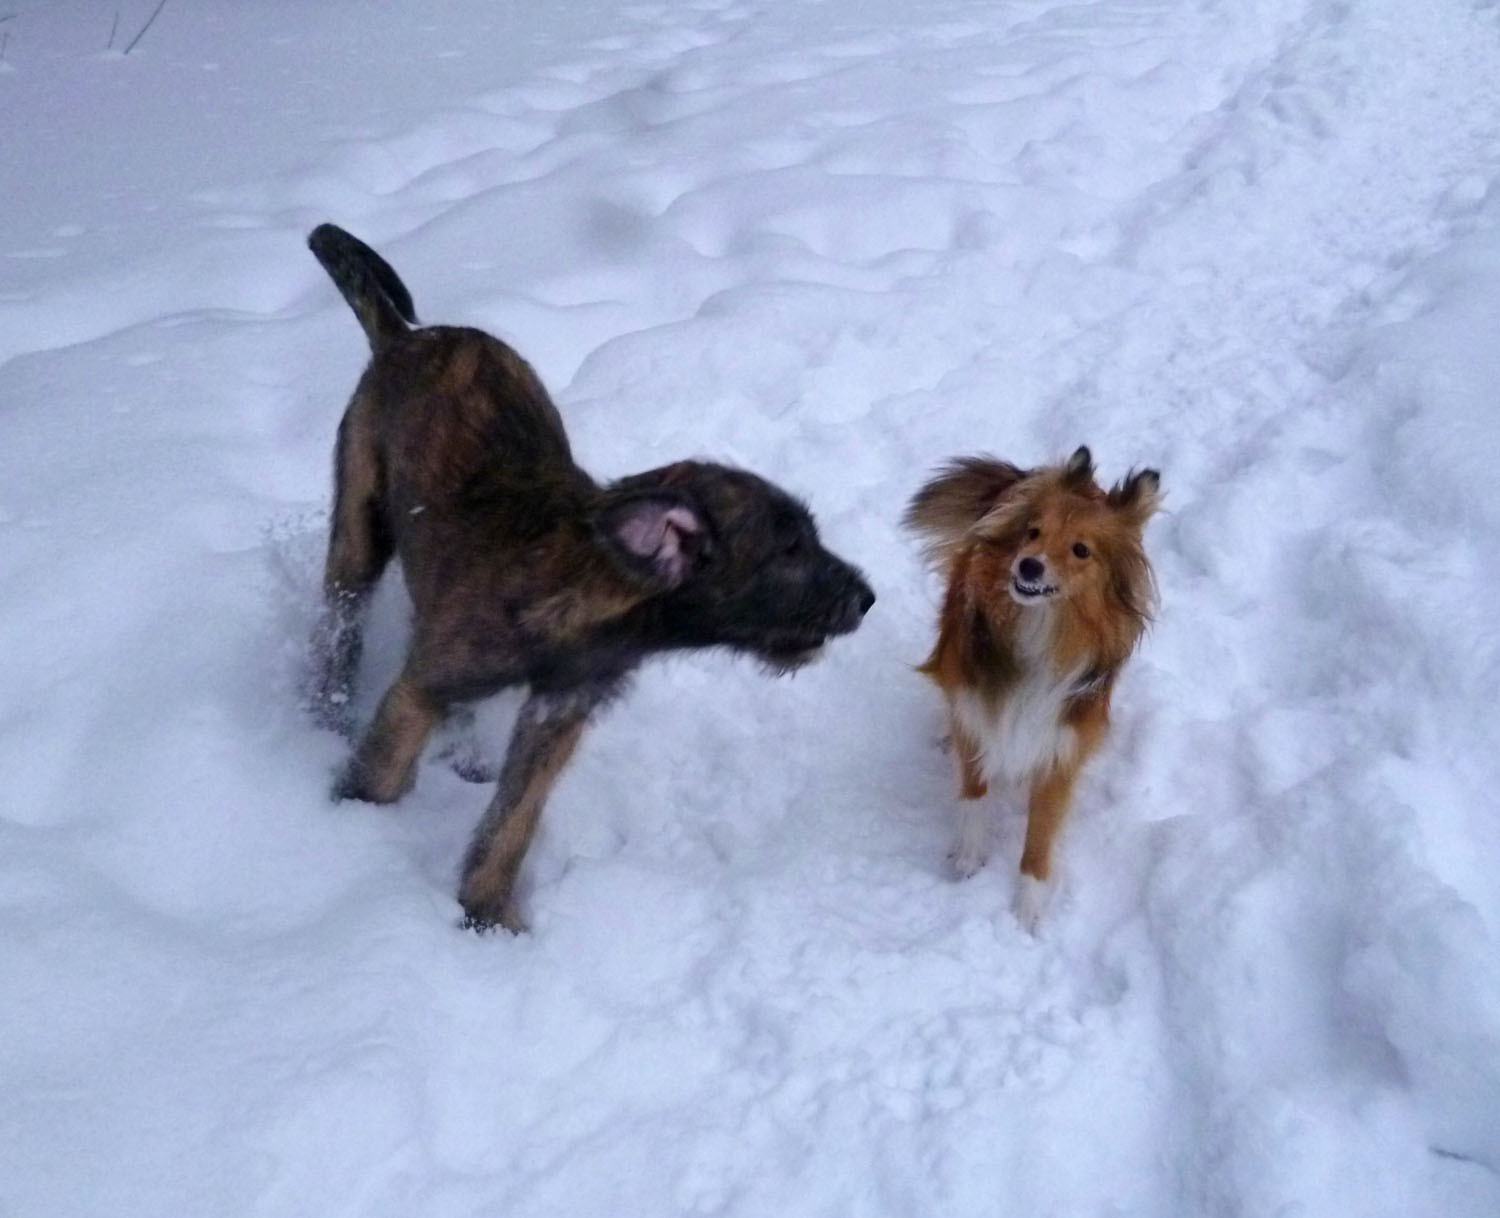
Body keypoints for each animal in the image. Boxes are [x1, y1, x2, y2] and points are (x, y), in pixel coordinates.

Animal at [303, 226, 876, 930]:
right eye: (790, 551)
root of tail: (404, 335)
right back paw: (323, 718)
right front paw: (354, 832)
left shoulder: (559, 714)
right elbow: (382, 774)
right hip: (357, 537)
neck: (590, 590)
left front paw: (488, 916)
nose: (867, 598)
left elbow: (512, 822)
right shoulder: (425, 687)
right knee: (338, 633)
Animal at [900, 450, 1158, 930]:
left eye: (1081, 549)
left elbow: (1040, 835)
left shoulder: (1061, 746)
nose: (1028, 565)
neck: (1041, 630)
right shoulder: (977, 708)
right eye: (1033, 532)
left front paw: (1028, 910)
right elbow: (974, 788)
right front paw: (968, 857)